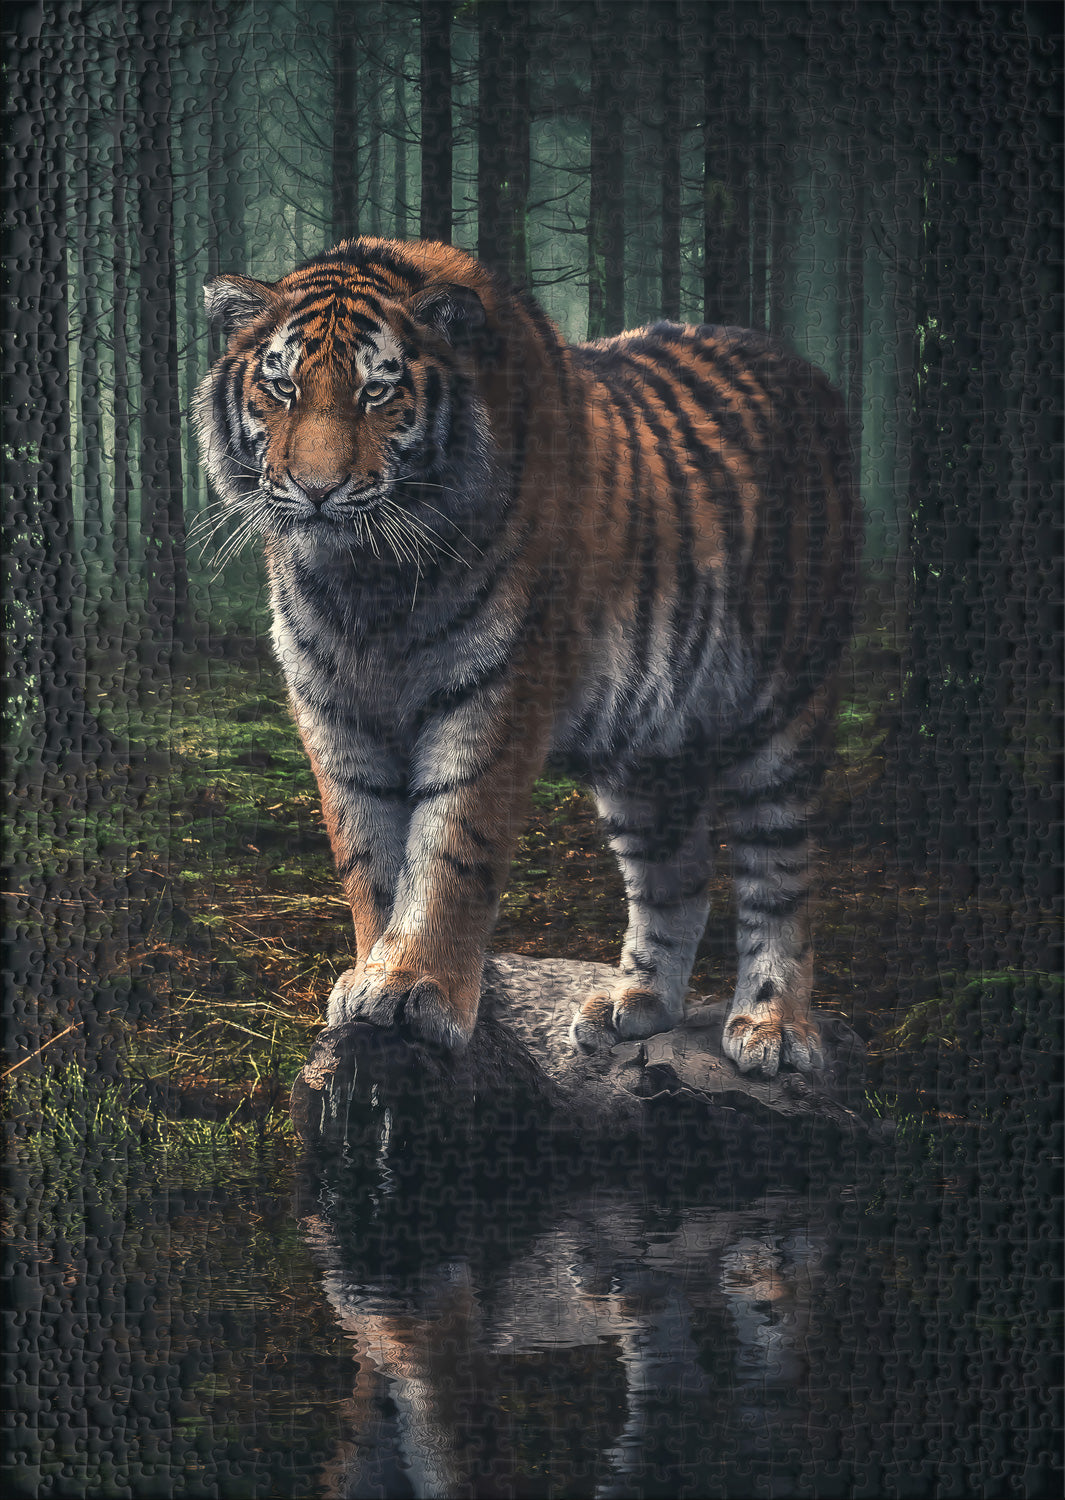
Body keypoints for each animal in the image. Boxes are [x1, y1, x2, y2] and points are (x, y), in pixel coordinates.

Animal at [195, 237, 858, 1078]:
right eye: (281, 387)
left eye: (377, 392)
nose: (315, 490)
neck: (365, 582)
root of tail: (811, 375)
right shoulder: (331, 709)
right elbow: (369, 857)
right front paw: (368, 977)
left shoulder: (495, 692)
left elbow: (449, 850)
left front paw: (414, 990)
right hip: (647, 750)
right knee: (675, 877)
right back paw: (633, 1006)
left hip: (784, 711)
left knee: (781, 876)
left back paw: (773, 1028)